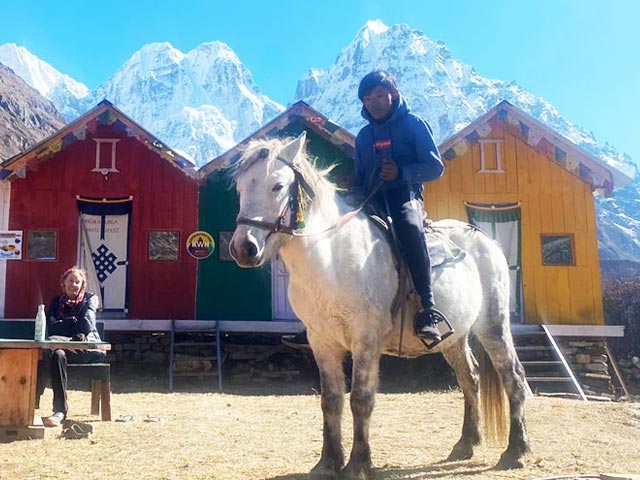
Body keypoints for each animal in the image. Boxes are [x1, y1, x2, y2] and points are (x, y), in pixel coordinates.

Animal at [229, 132, 530, 480]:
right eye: (240, 188)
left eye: (277, 186)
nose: (244, 247)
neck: (332, 260)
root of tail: (484, 238)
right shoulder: (322, 342)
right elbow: (331, 400)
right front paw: (327, 463)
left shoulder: (366, 341)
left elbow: (361, 399)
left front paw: (358, 464)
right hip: (454, 338)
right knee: (470, 379)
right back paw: (466, 444)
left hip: (493, 325)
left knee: (513, 377)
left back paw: (516, 451)